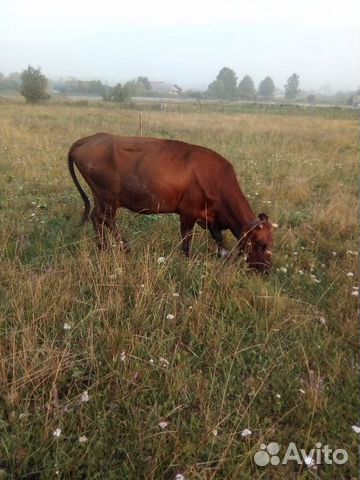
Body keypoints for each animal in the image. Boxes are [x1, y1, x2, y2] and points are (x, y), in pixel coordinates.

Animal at [68, 133, 276, 272]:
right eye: (261, 244)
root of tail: (90, 138)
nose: (266, 270)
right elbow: (187, 237)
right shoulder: (189, 212)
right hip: (108, 197)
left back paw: (102, 247)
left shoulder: (209, 216)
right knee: (106, 219)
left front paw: (224, 255)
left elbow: (218, 237)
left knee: (97, 217)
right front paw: (188, 259)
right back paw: (124, 248)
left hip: (100, 196)